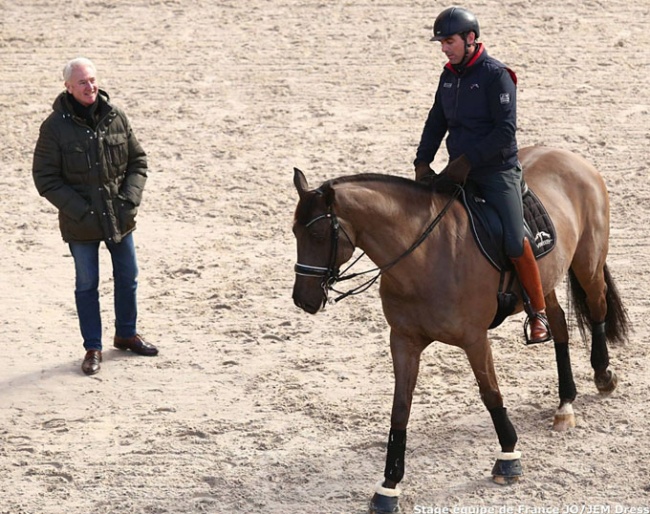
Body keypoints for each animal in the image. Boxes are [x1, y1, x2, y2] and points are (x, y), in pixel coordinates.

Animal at [292, 145, 624, 512]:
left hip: (588, 262)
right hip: (548, 277)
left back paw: (603, 376)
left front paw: (508, 457)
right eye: (294, 233)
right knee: (559, 325)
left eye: (318, 234)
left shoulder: (474, 339)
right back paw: (565, 403)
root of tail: (568, 155)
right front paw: (389, 486)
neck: (424, 257)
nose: (302, 299)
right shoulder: (403, 341)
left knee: (597, 308)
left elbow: (491, 393)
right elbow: (400, 409)